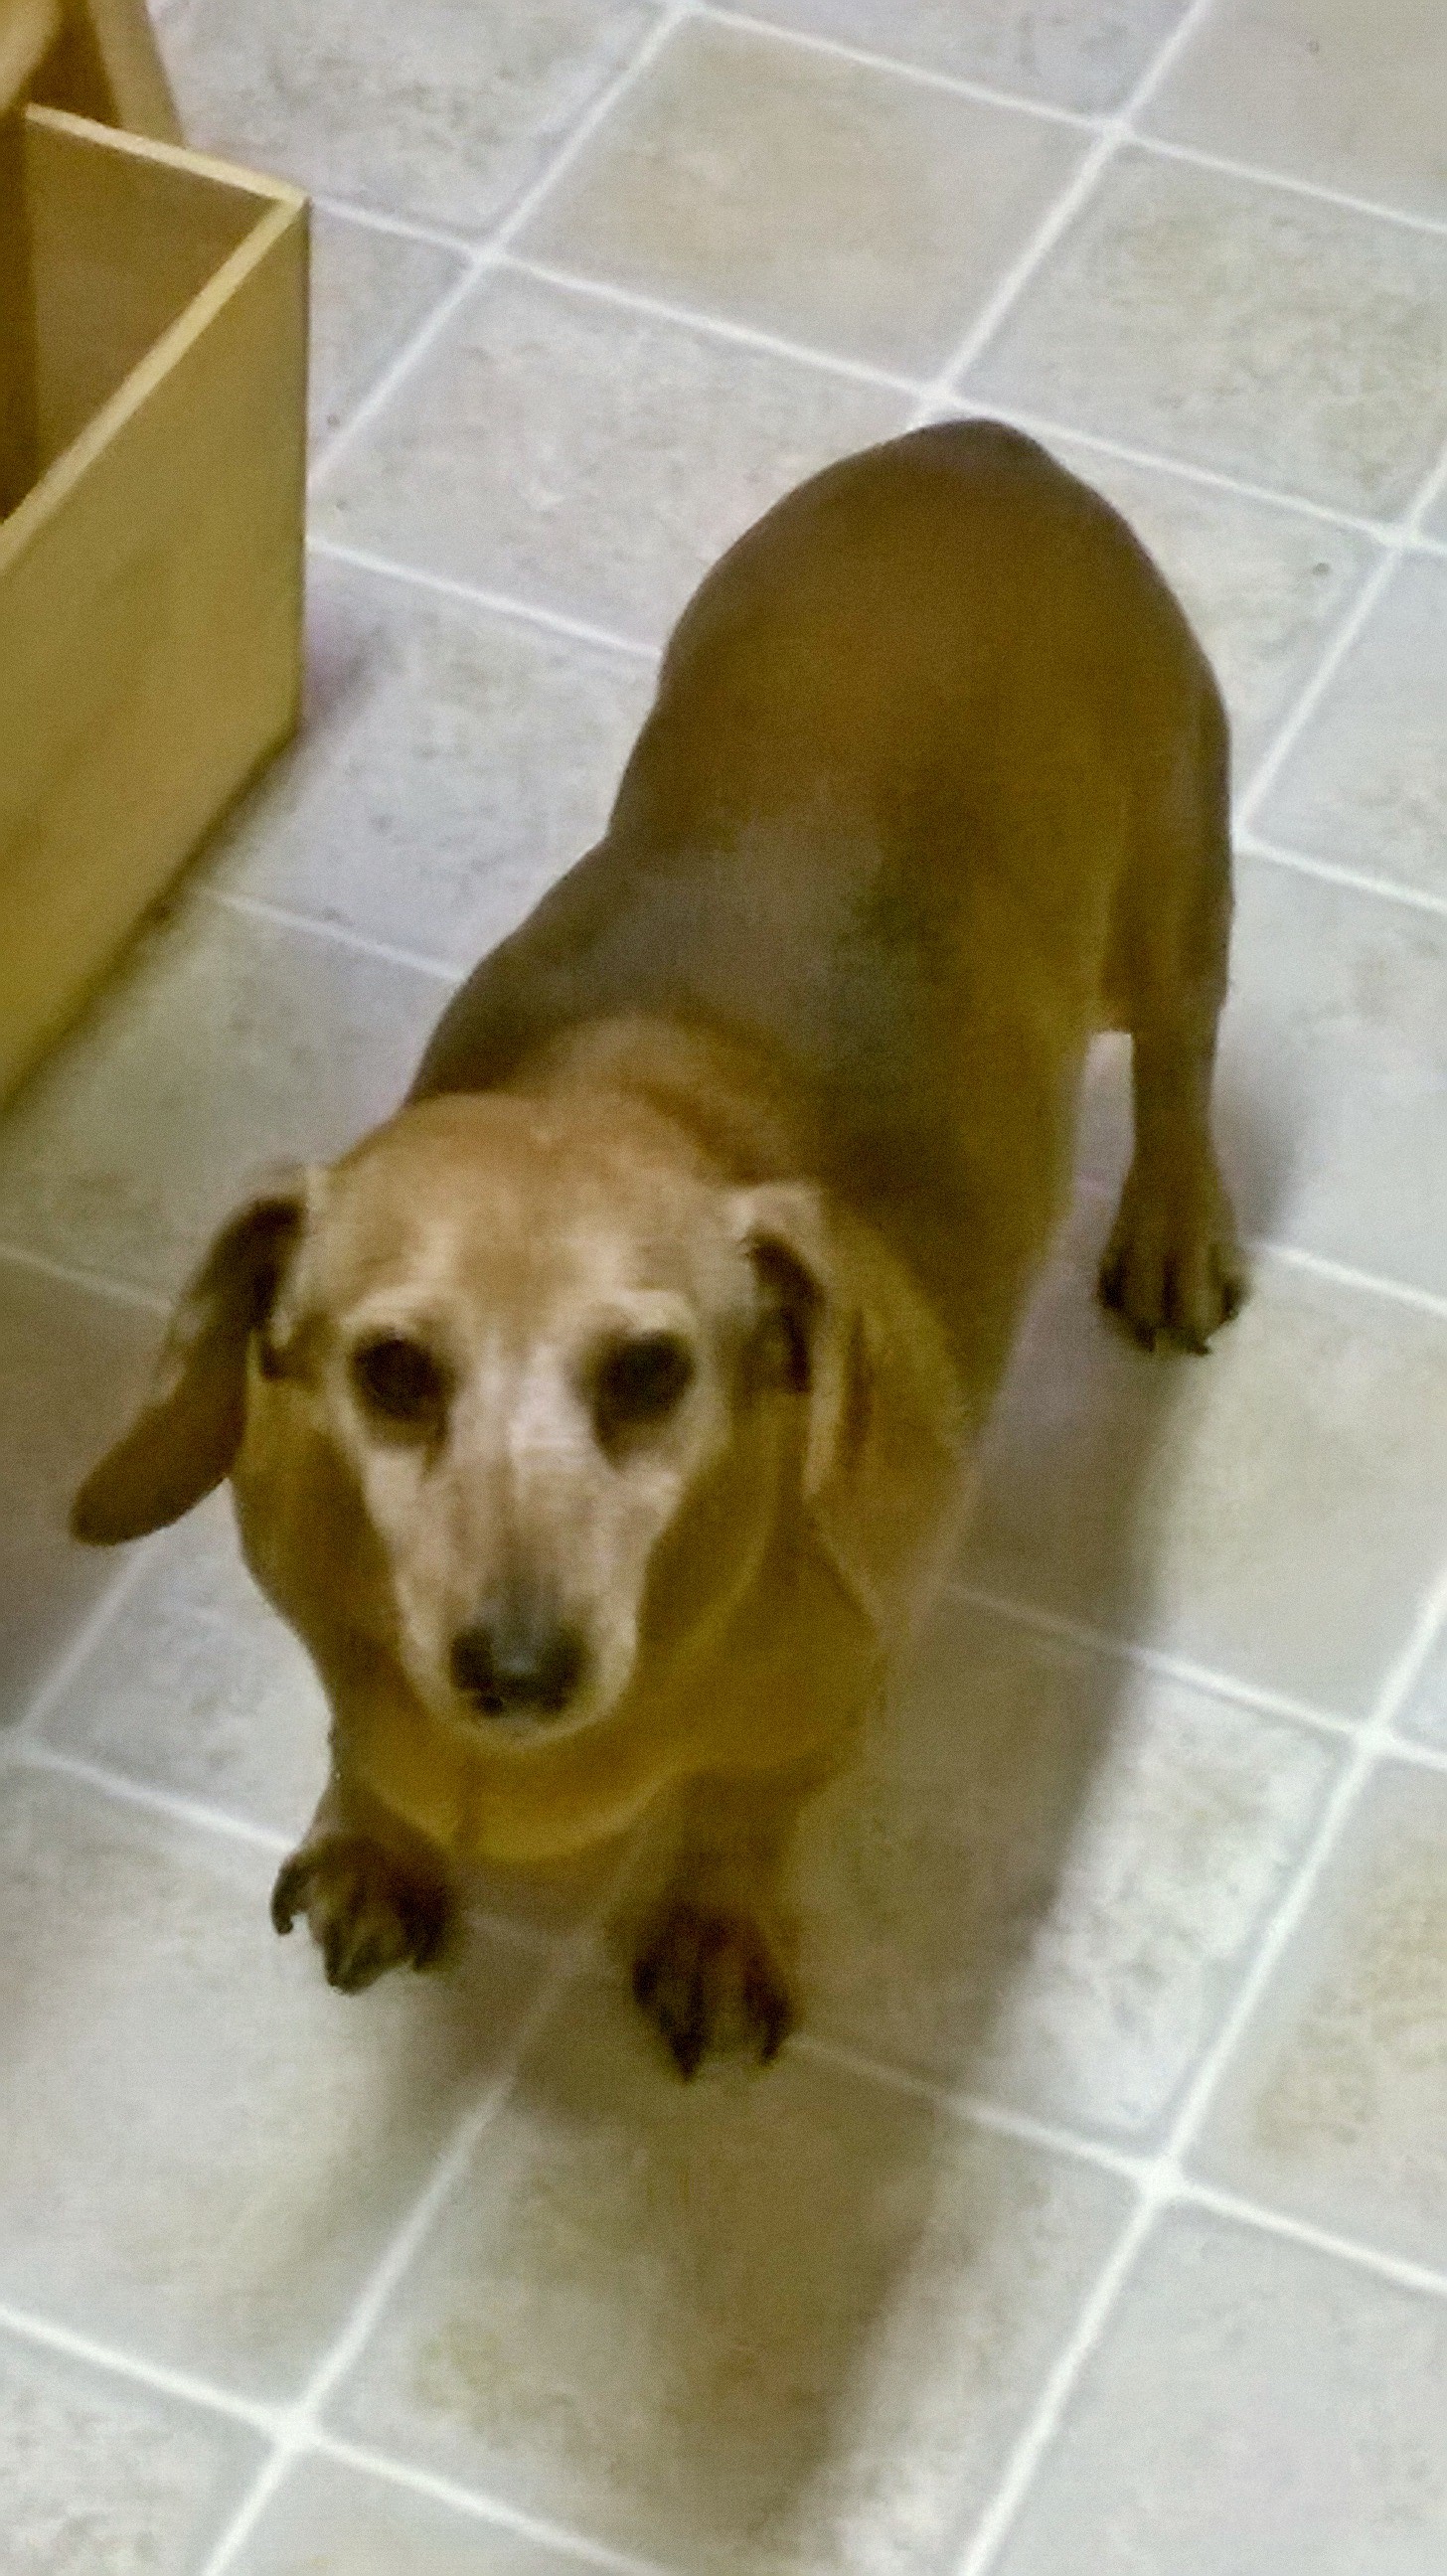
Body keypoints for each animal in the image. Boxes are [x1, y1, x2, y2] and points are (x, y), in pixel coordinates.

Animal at [72, 421, 1243, 2075]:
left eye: (648, 1372)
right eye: (392, 1370)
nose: (514, 1674)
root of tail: (985, 453)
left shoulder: (828, 1702)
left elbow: (747, 1811)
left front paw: (715, 1929)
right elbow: (359, 1745)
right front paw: (376, 1845)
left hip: (1171, 899)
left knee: (1179, 1060)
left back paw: (1173, 1228)